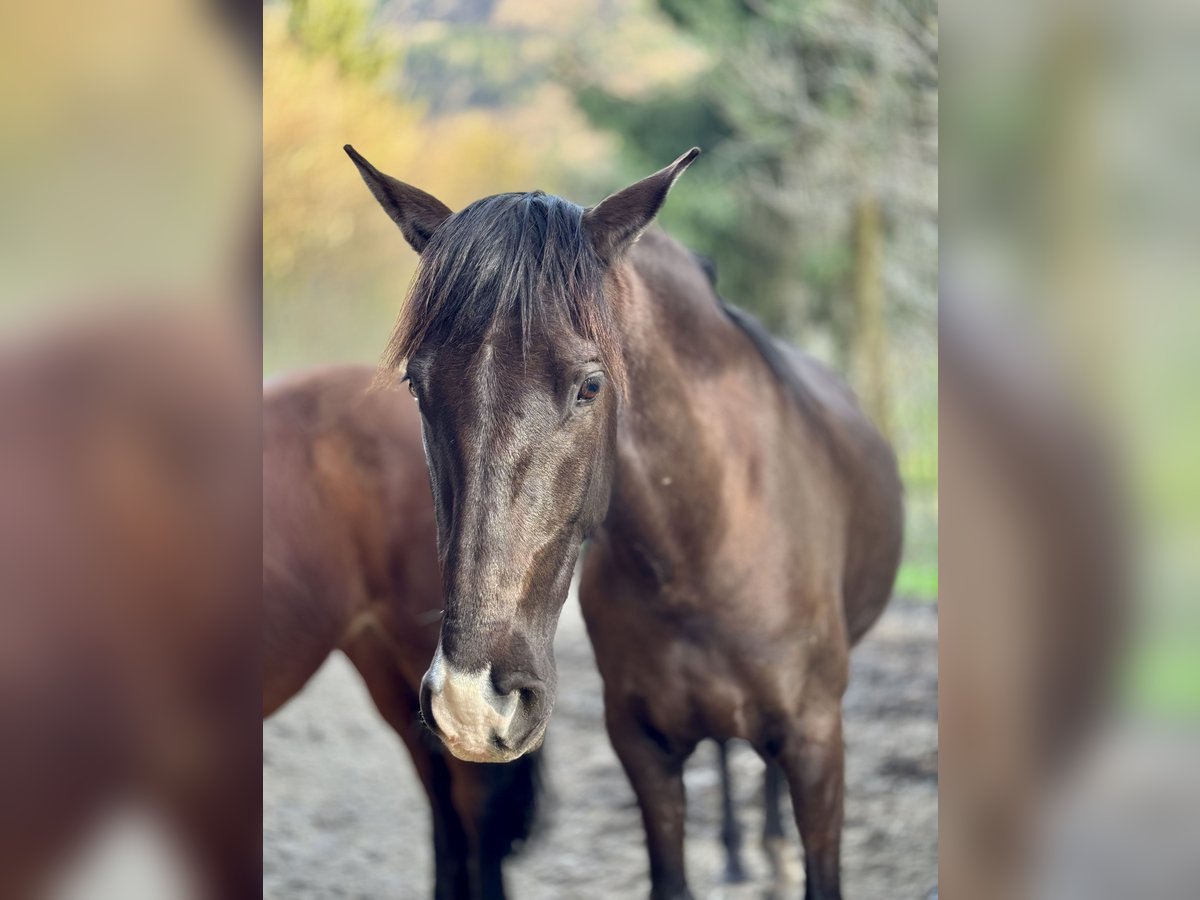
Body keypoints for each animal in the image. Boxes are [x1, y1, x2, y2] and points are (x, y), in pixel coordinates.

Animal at [345, 144, 902, 897]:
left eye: (590, 385)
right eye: (416, 385)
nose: (473, 704)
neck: (704, 546)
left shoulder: (818, 742)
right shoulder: (642, 751)